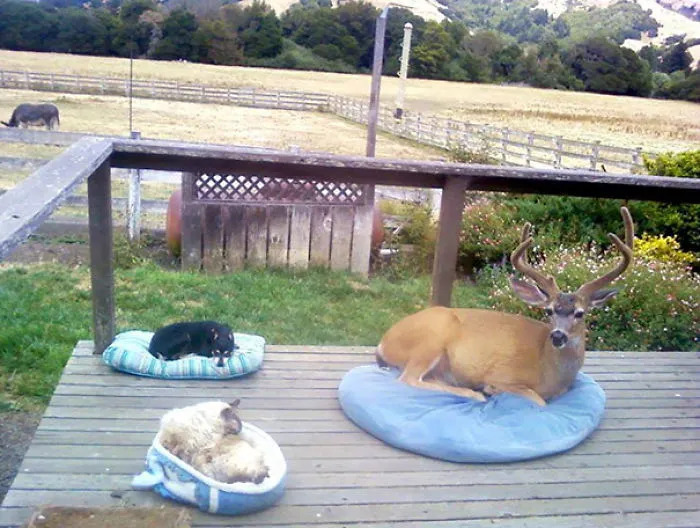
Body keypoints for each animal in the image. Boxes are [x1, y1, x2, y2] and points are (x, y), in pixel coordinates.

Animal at [375, 207, 634, 406]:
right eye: (549, 310)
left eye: (580, 313)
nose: (558, 336)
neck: (548, 370)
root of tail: (384, 342)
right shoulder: (504, 375)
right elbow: (538, 401)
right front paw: (490, 389)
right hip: (432, 338)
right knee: (409, 378)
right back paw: (474, 393)